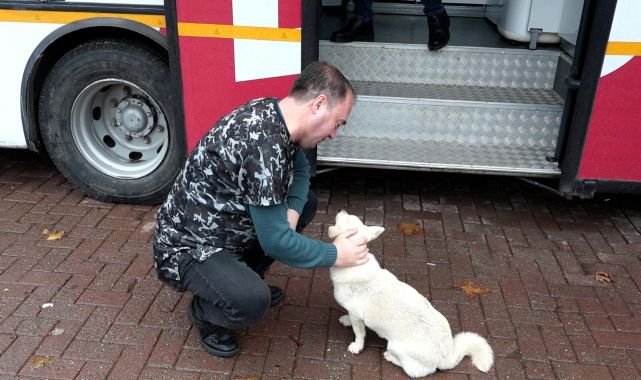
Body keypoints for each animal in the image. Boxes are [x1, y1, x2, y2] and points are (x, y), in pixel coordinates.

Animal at [328, 211, 492, 378]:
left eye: (344, 218)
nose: (342, 211)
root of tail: (447, 357)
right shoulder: (354, 315)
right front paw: (346, 320)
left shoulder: (357, 315)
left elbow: (359, 333)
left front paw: (357, 347)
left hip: (396, 347)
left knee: (415, 371)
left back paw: (390, 357)